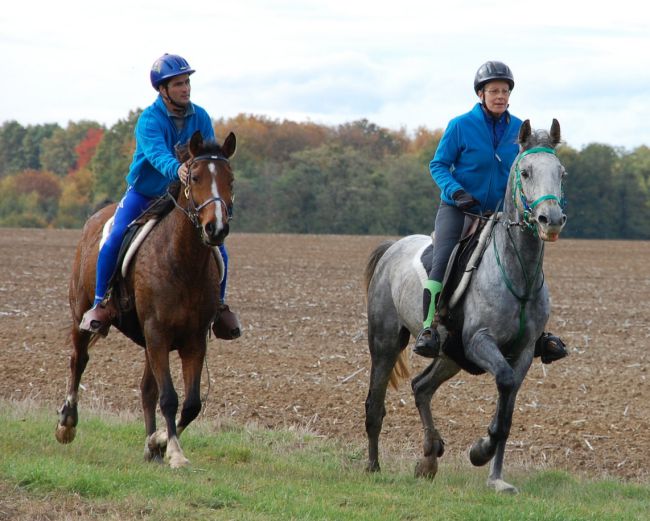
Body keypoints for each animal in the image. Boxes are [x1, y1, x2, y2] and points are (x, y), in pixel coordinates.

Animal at [55, 129, 237, 468]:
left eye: (230, 179)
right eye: (194, 176)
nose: (216, 228)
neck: (182, 261)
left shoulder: (193, 341)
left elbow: (190, 403)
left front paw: (159, 441)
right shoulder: (157, 334)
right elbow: (169, 397)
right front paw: (174, 451)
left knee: (147, 389)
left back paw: (152, 446)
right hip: (81, 314)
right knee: (79, 360)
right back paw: (67, 423)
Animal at [364, 118, 568, 492]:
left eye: (561, 172)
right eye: (526, 172)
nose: (552, 219)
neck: (517, 274)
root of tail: (392, 248)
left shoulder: (522, 353)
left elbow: (507, 412)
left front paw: (496, 477)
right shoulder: (480, 341)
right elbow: (503, 382)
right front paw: (480, 450)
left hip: (450, 355)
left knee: (421, 387)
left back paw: (429, 457)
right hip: (386, 342)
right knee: (376, 403)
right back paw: (373, 465)